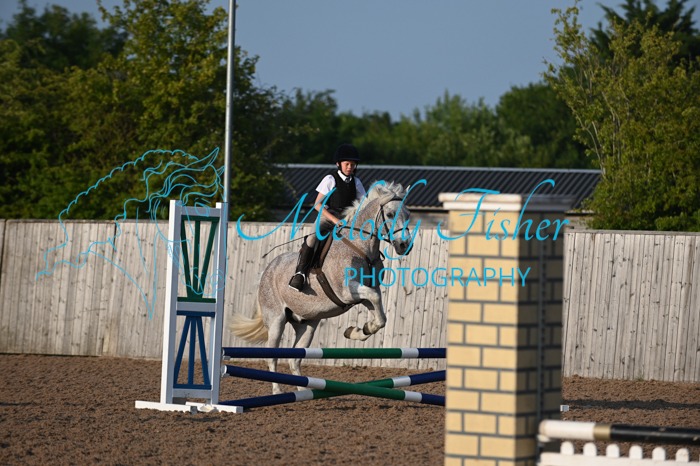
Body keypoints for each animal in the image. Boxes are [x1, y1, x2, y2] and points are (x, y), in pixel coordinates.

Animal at [229, 181, 414, 394]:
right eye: (390, 214)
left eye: (408, 214)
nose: (404, 245)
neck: (361, 248)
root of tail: (268, 270)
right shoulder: (347, 291)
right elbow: (375, 297)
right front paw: (359, 330)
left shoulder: (362, 294)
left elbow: (379, 314)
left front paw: (359, 331)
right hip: (276, 321)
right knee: (272, 356)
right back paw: (277, 391)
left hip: (306, 325)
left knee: (294, 359)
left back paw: (302, 390)